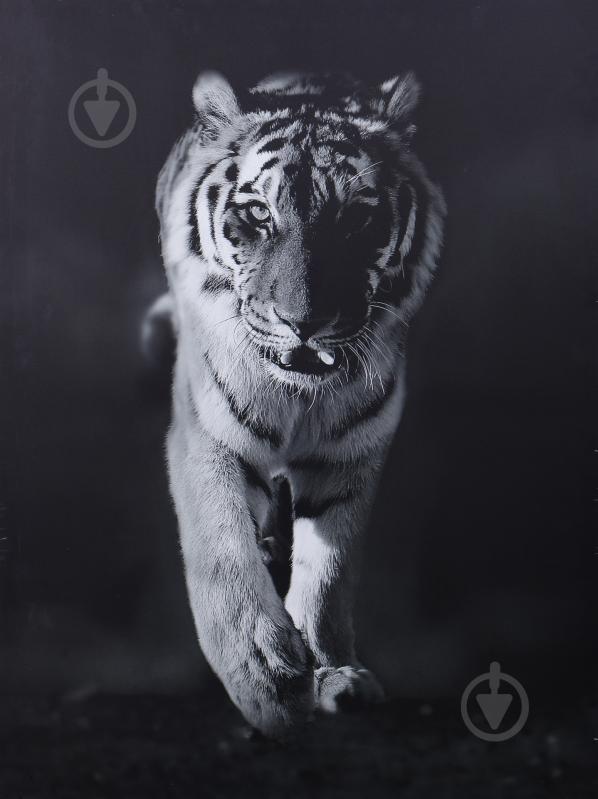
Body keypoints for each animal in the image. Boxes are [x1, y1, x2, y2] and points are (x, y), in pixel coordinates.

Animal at [146, 70, 445, 736]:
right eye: (258, 214)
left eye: (356, 219)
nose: (303, 323)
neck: (300, 398)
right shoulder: (209, 435)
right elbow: (221, 551)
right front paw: (266, 681)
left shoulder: (352, 453)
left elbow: (329, 573)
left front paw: (334, 675)